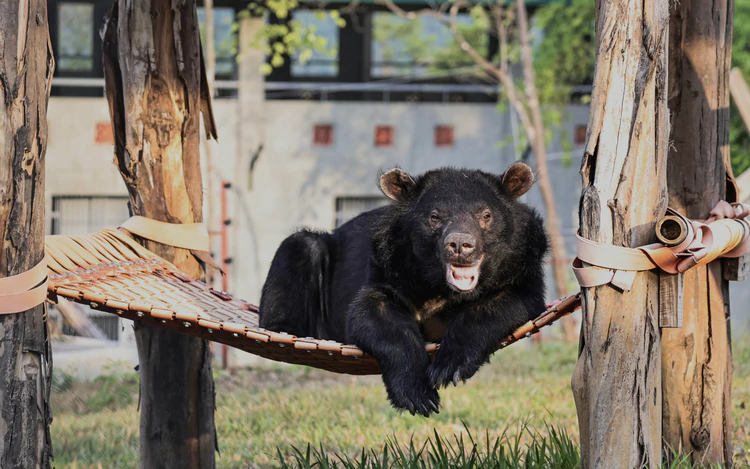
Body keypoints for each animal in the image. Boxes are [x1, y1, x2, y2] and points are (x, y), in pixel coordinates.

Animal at [259, 163, 549, 417]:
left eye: (486, 216)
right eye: (435, 217)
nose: (460, 245)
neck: (441, 288)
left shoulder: (523, 264)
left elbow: (506, 303)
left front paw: (448, 367)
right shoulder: (389, 267)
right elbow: (374, 315)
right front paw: (418, 395)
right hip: (308, 257)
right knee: (298, 247)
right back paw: (287, 332)